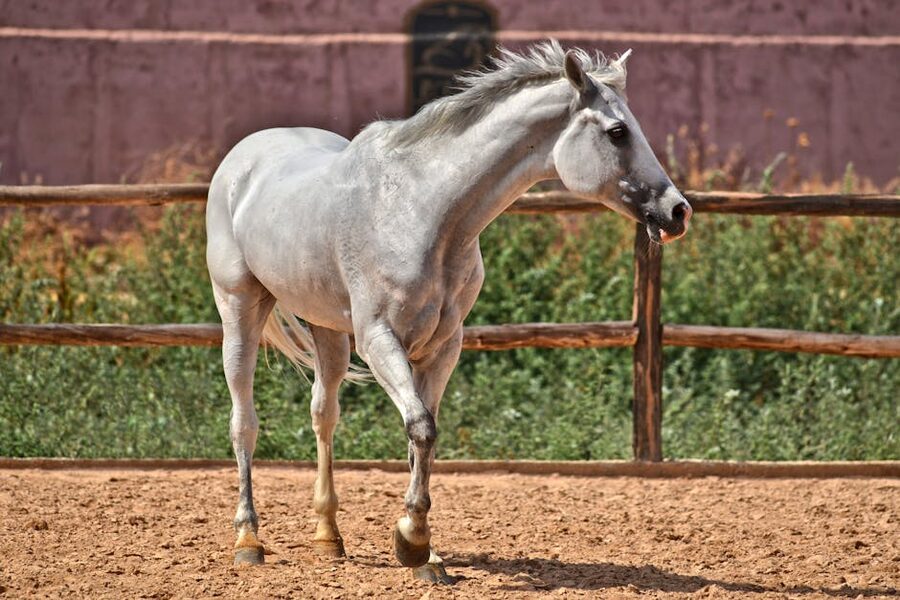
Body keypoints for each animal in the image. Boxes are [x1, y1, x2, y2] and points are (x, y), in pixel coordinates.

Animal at [205, 40, 692, 583]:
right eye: (617, 131)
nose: (677, 211)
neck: (424, 210)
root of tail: (243, 159)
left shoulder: (442, 345)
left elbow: (422, 435)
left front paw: (424, 551)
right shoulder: (379, 340)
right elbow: (421, 427)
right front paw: (413, 541)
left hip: (327, 329)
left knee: (323, 415)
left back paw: (329, 537)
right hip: (240, 309)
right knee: (244, 421)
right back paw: (248, 540)